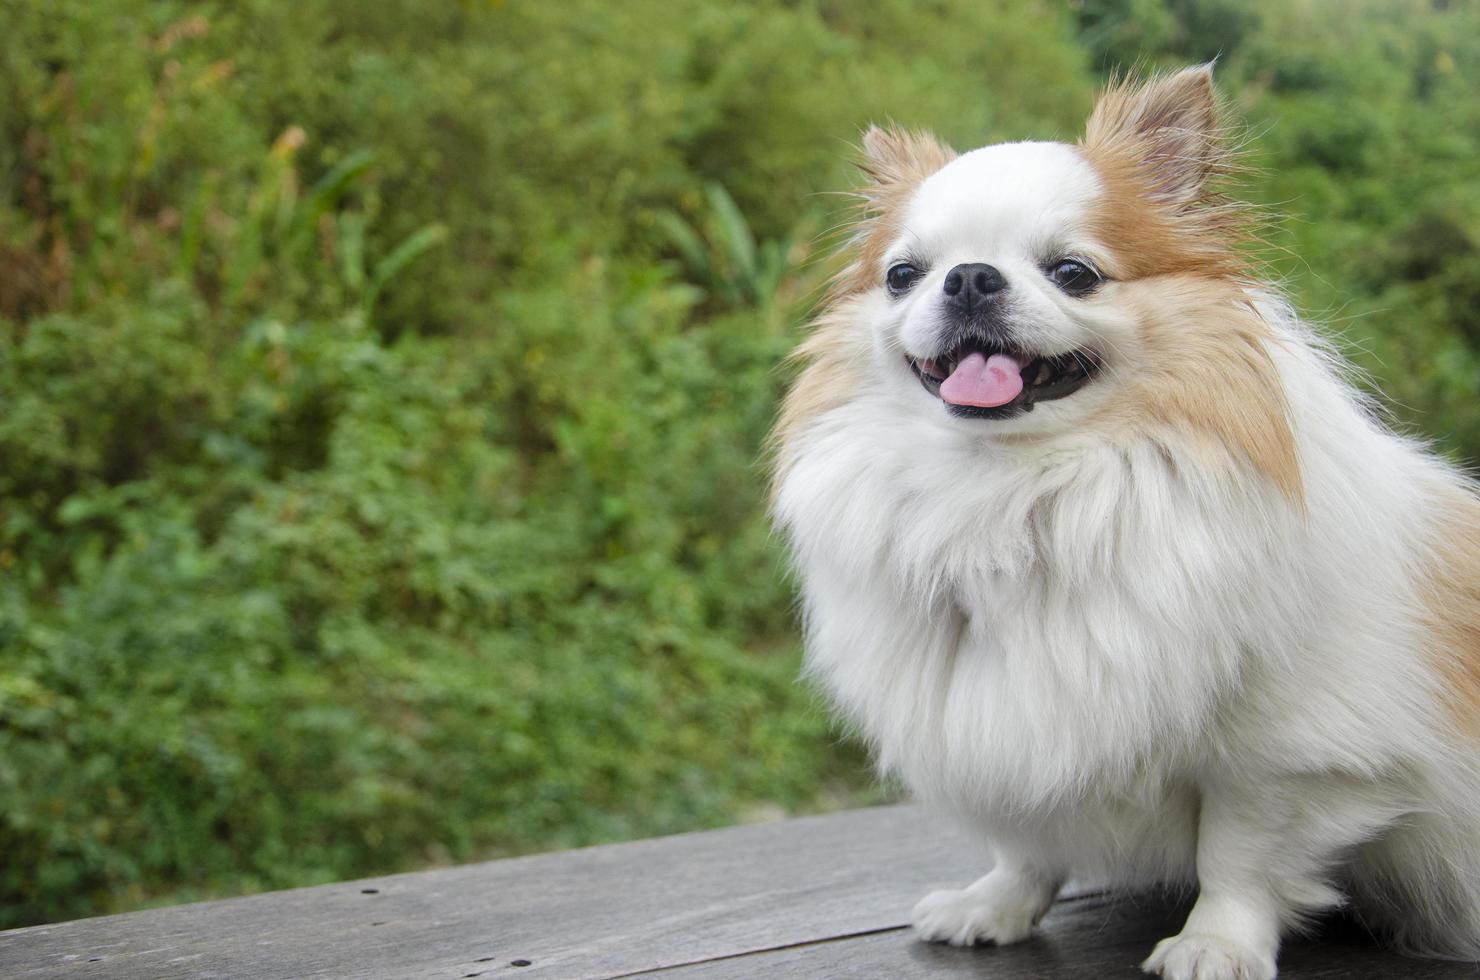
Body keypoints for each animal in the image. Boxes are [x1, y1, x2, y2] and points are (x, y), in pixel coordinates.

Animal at [769, 65, 1480, 977]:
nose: (968, 277)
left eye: (1073, 272)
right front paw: (995, 906)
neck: (1012, 494)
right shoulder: (1005, 726)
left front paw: (1215, 943)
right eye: (902, 275)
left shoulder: (1286, 753)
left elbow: (1240, 854)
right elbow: (1026, 843)